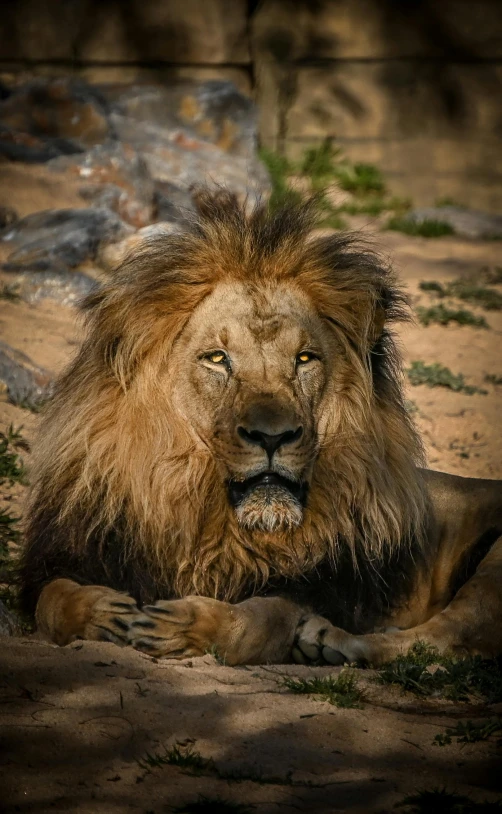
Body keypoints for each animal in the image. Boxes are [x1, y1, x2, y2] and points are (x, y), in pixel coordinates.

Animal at [19, 193, 502, 668]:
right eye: (217, 359)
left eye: (304, 359)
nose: (273, 437)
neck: (204, 510)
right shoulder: (67, 556)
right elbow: (52, 599)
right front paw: (103, 614)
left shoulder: (319, 589)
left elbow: (259, 619)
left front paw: (183, 626)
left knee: (441, 640)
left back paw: (332, 643)